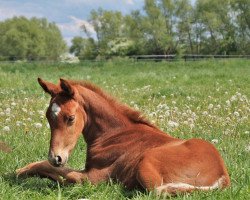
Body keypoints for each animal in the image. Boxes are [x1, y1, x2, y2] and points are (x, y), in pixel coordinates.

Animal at [16, 78, 230, 195]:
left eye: (70, 118)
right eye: (48, 117)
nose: (56, 157)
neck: (113, 134)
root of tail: (222, 175)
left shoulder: (96, 177)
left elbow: (62, 173)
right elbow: (45, 167)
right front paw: (19, 172)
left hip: (146, 162)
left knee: (157, 192)